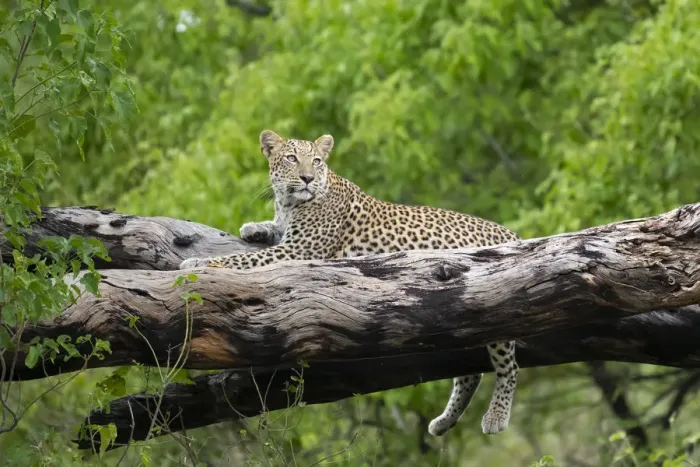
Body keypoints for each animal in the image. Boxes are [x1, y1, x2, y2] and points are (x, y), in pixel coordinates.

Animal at [179, 130, 520, 437]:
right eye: (291, 158)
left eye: (316, 161)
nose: (307, 178)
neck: (288, 202)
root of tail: (511, 233)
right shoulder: (291, 240)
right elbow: (268, 234)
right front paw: (255, 227)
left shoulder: (300, 250)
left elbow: (242, 259)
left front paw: (200, 263)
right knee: (470, 376)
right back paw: (444, 422)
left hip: (494, 303)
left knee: (508, 366)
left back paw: (497, 416)